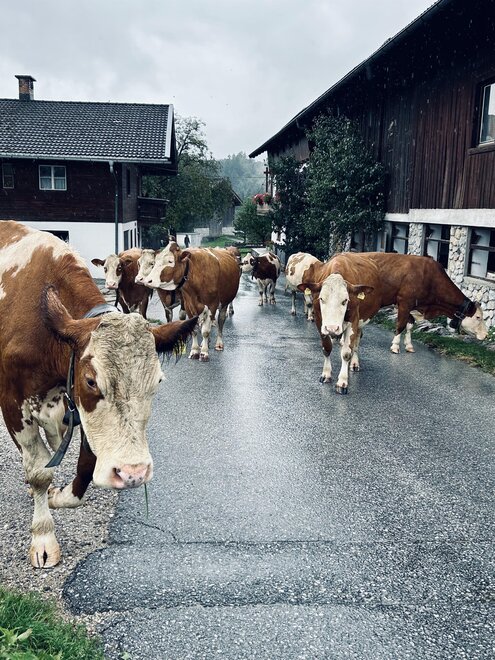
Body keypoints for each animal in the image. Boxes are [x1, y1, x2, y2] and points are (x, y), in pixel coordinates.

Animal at [0, 221, 195, 567]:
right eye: (91, 381)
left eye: (158, 381)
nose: (133, 473)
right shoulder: (13, 403)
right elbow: (39, 472)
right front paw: (43, 536)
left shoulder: (76, 407)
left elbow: (83, 465)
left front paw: (59, 494)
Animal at [300, 253, 382, 394]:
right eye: (321, 299)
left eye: (345, 301)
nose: (332, 328)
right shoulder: (320, 322)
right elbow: (327, 348)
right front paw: (326, 374)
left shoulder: (354, 321)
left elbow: (346, 353)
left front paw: (342, 382)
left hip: (360, 322)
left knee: (356, 343)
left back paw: (354, 363)